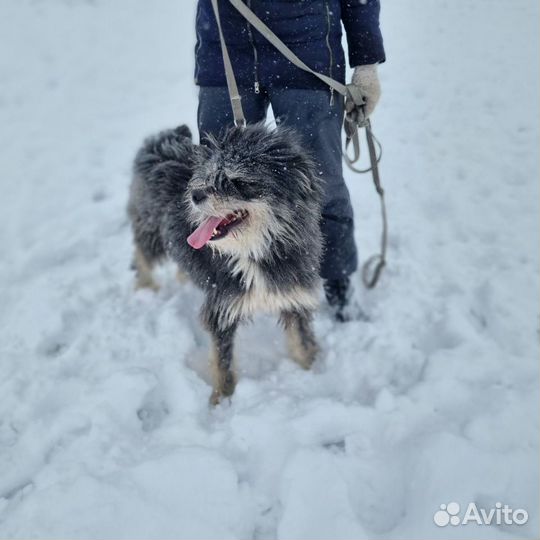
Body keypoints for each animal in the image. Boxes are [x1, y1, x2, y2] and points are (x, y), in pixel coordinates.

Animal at [130, 125, 324, 404]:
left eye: (238, 181)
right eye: (209, 176)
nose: (194, 194)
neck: (254, 251)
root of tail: (162, 137)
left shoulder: (294, 298)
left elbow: (303, 345)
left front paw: (312, 374)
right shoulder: (221, 308)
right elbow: (224, 366)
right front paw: (221, 402)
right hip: (150, 230)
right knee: (142, 254)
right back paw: (145, 287)